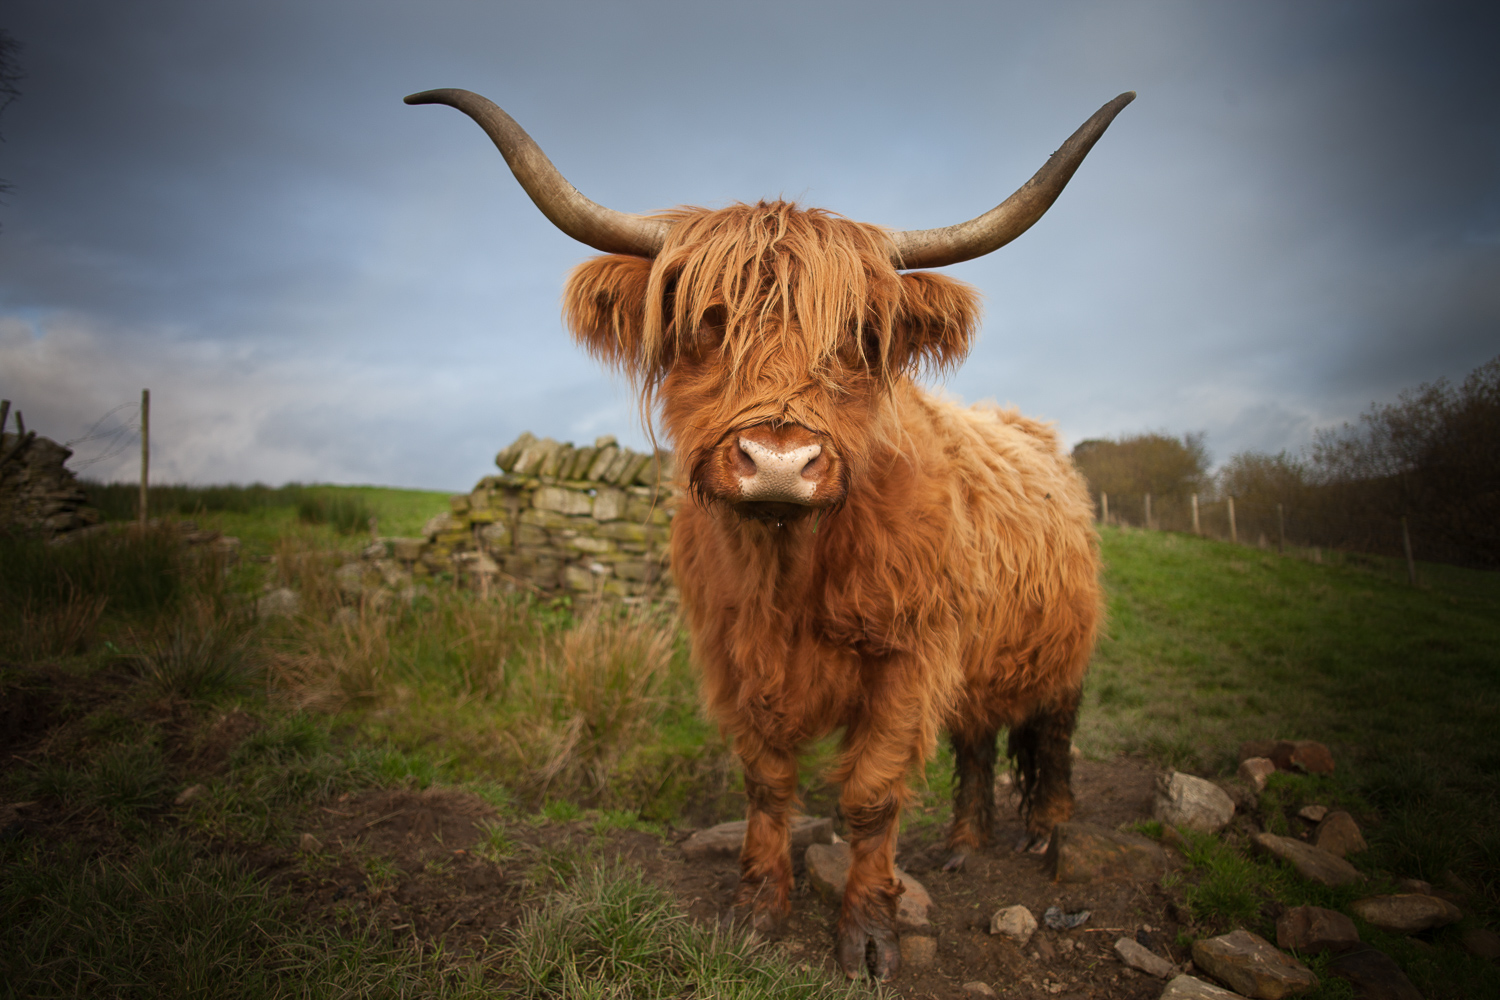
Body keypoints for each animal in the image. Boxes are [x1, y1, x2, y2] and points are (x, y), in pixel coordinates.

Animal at [406, 88, 1130, 980]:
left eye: (858, 335)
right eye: (709, 321)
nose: (780, 461)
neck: (790, 571)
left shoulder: (910, 657)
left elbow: (871, 795)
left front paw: (867, 934)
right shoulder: (732, 657)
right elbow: (766, 784)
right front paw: (757, 909)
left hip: (1062, 650)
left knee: (1052, 735)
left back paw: (1049, 832)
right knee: (973, 744)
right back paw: (965, 844)